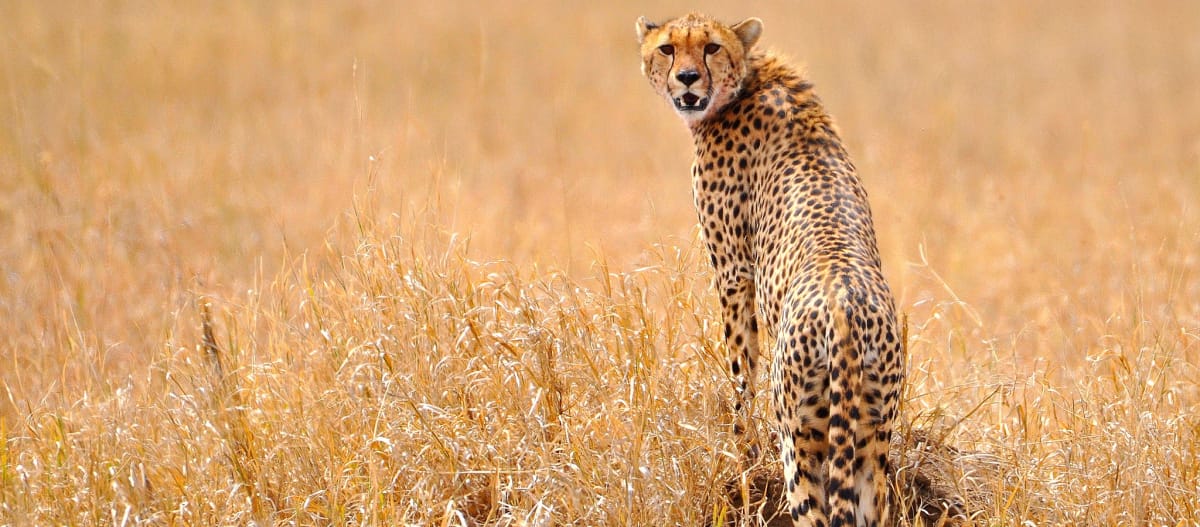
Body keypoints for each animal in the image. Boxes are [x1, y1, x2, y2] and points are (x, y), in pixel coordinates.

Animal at [638, 12, 902, 527]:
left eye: (711, 47)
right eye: (667, 48)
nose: (687, 78)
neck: (749, 79)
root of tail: (844, 312)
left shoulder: (732, 272)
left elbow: (741, 374)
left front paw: (741, 456)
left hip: (801, 438)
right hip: (871, 440)